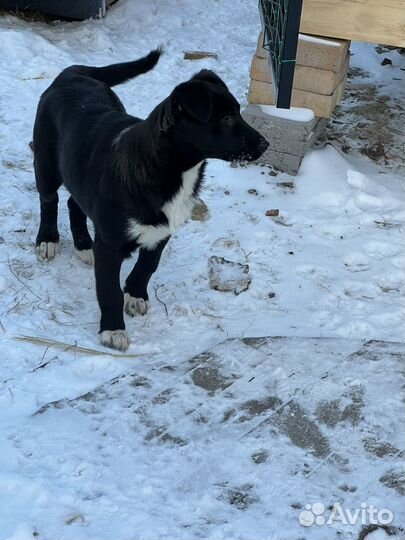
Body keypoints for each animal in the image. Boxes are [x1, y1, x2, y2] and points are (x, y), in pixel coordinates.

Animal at [34, 49, 268, 350]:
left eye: (238, 112)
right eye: (225, 119)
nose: (265, 144)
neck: (168, 169)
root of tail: (73, 73)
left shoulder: (161, 230)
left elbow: (147, 266)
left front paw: (135, 295)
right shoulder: (109, 244)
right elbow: (109, 290)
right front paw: (113, 330)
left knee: (74, 202)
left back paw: (84, 245)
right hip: (46, 162)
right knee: (49, 200)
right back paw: (47, 240)